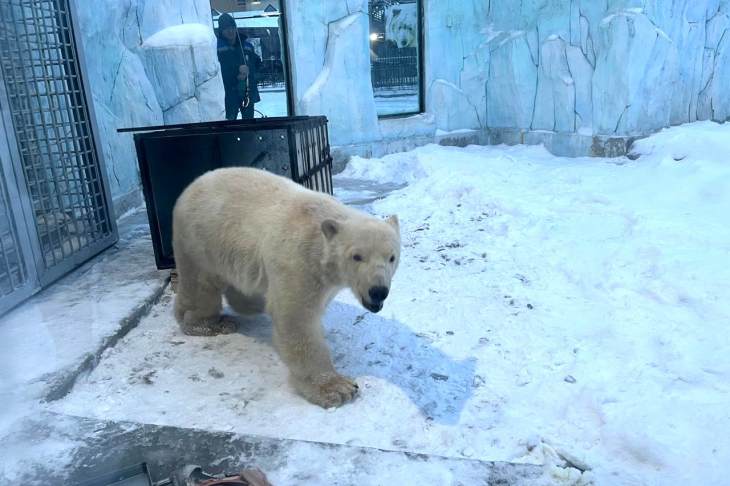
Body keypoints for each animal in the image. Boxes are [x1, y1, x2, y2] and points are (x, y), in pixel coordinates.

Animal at [171, 167, 400, 406]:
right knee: (200, 285)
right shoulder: (298, 262)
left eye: (392, 257)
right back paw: (210, 323)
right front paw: (337, 388)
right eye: (357, 256)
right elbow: (297, 319)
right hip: (200, 240)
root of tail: (191, 186)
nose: (378, 291)